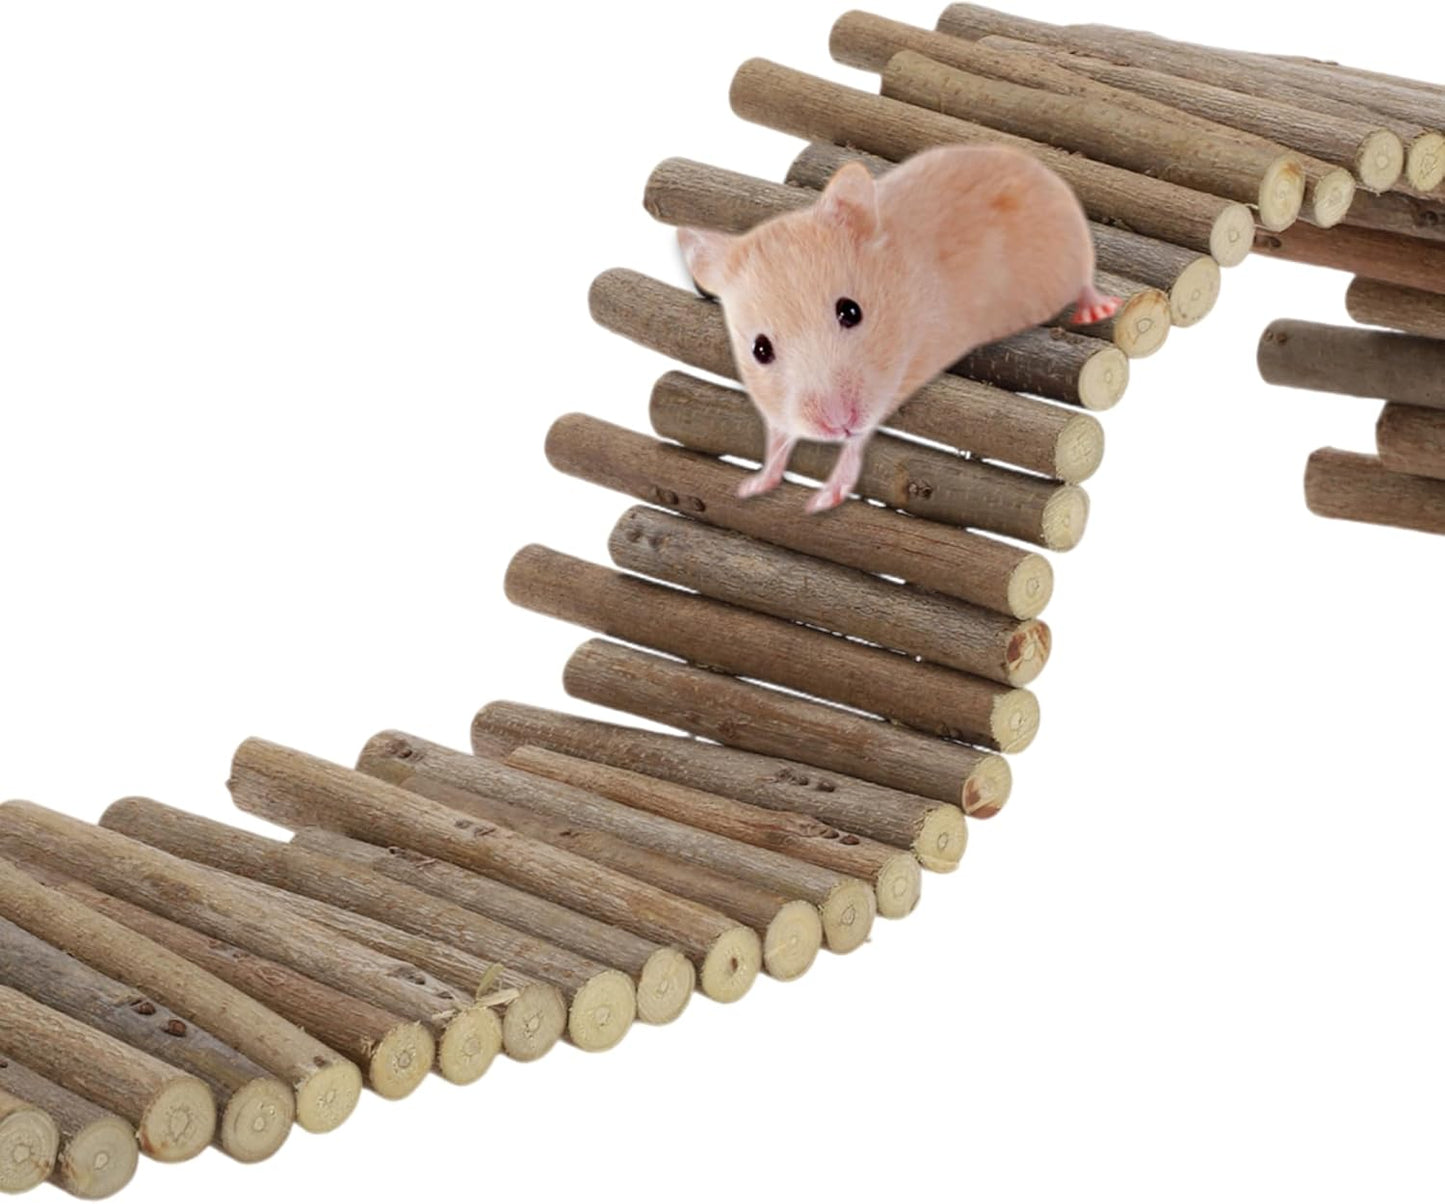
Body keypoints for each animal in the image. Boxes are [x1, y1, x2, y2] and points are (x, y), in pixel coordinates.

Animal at [678, 145, 1118, 512]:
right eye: (760, 350)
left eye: (851, 311)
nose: (838, 422)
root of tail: (1029, 162)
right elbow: (777, 442)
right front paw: (751, 487)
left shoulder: (893, 383)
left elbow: (857, 445)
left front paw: (820, 502)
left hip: (1070, 252)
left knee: (1086, 279)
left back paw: (1098, 308)